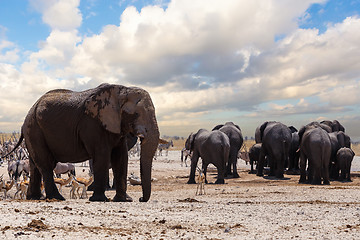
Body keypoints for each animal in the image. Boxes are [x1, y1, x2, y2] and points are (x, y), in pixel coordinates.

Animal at [3, 83, 159, 202]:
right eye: (136, 114)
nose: (141, 199)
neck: (122, 90)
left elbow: (120, 158)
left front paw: (124, 200)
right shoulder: (93, 124)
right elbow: (102, 156)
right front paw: (99, 199)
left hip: (33, 131)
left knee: (35, 165)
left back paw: (35, 198)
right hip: (34, 129)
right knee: (45, 165)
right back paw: (57, 198)